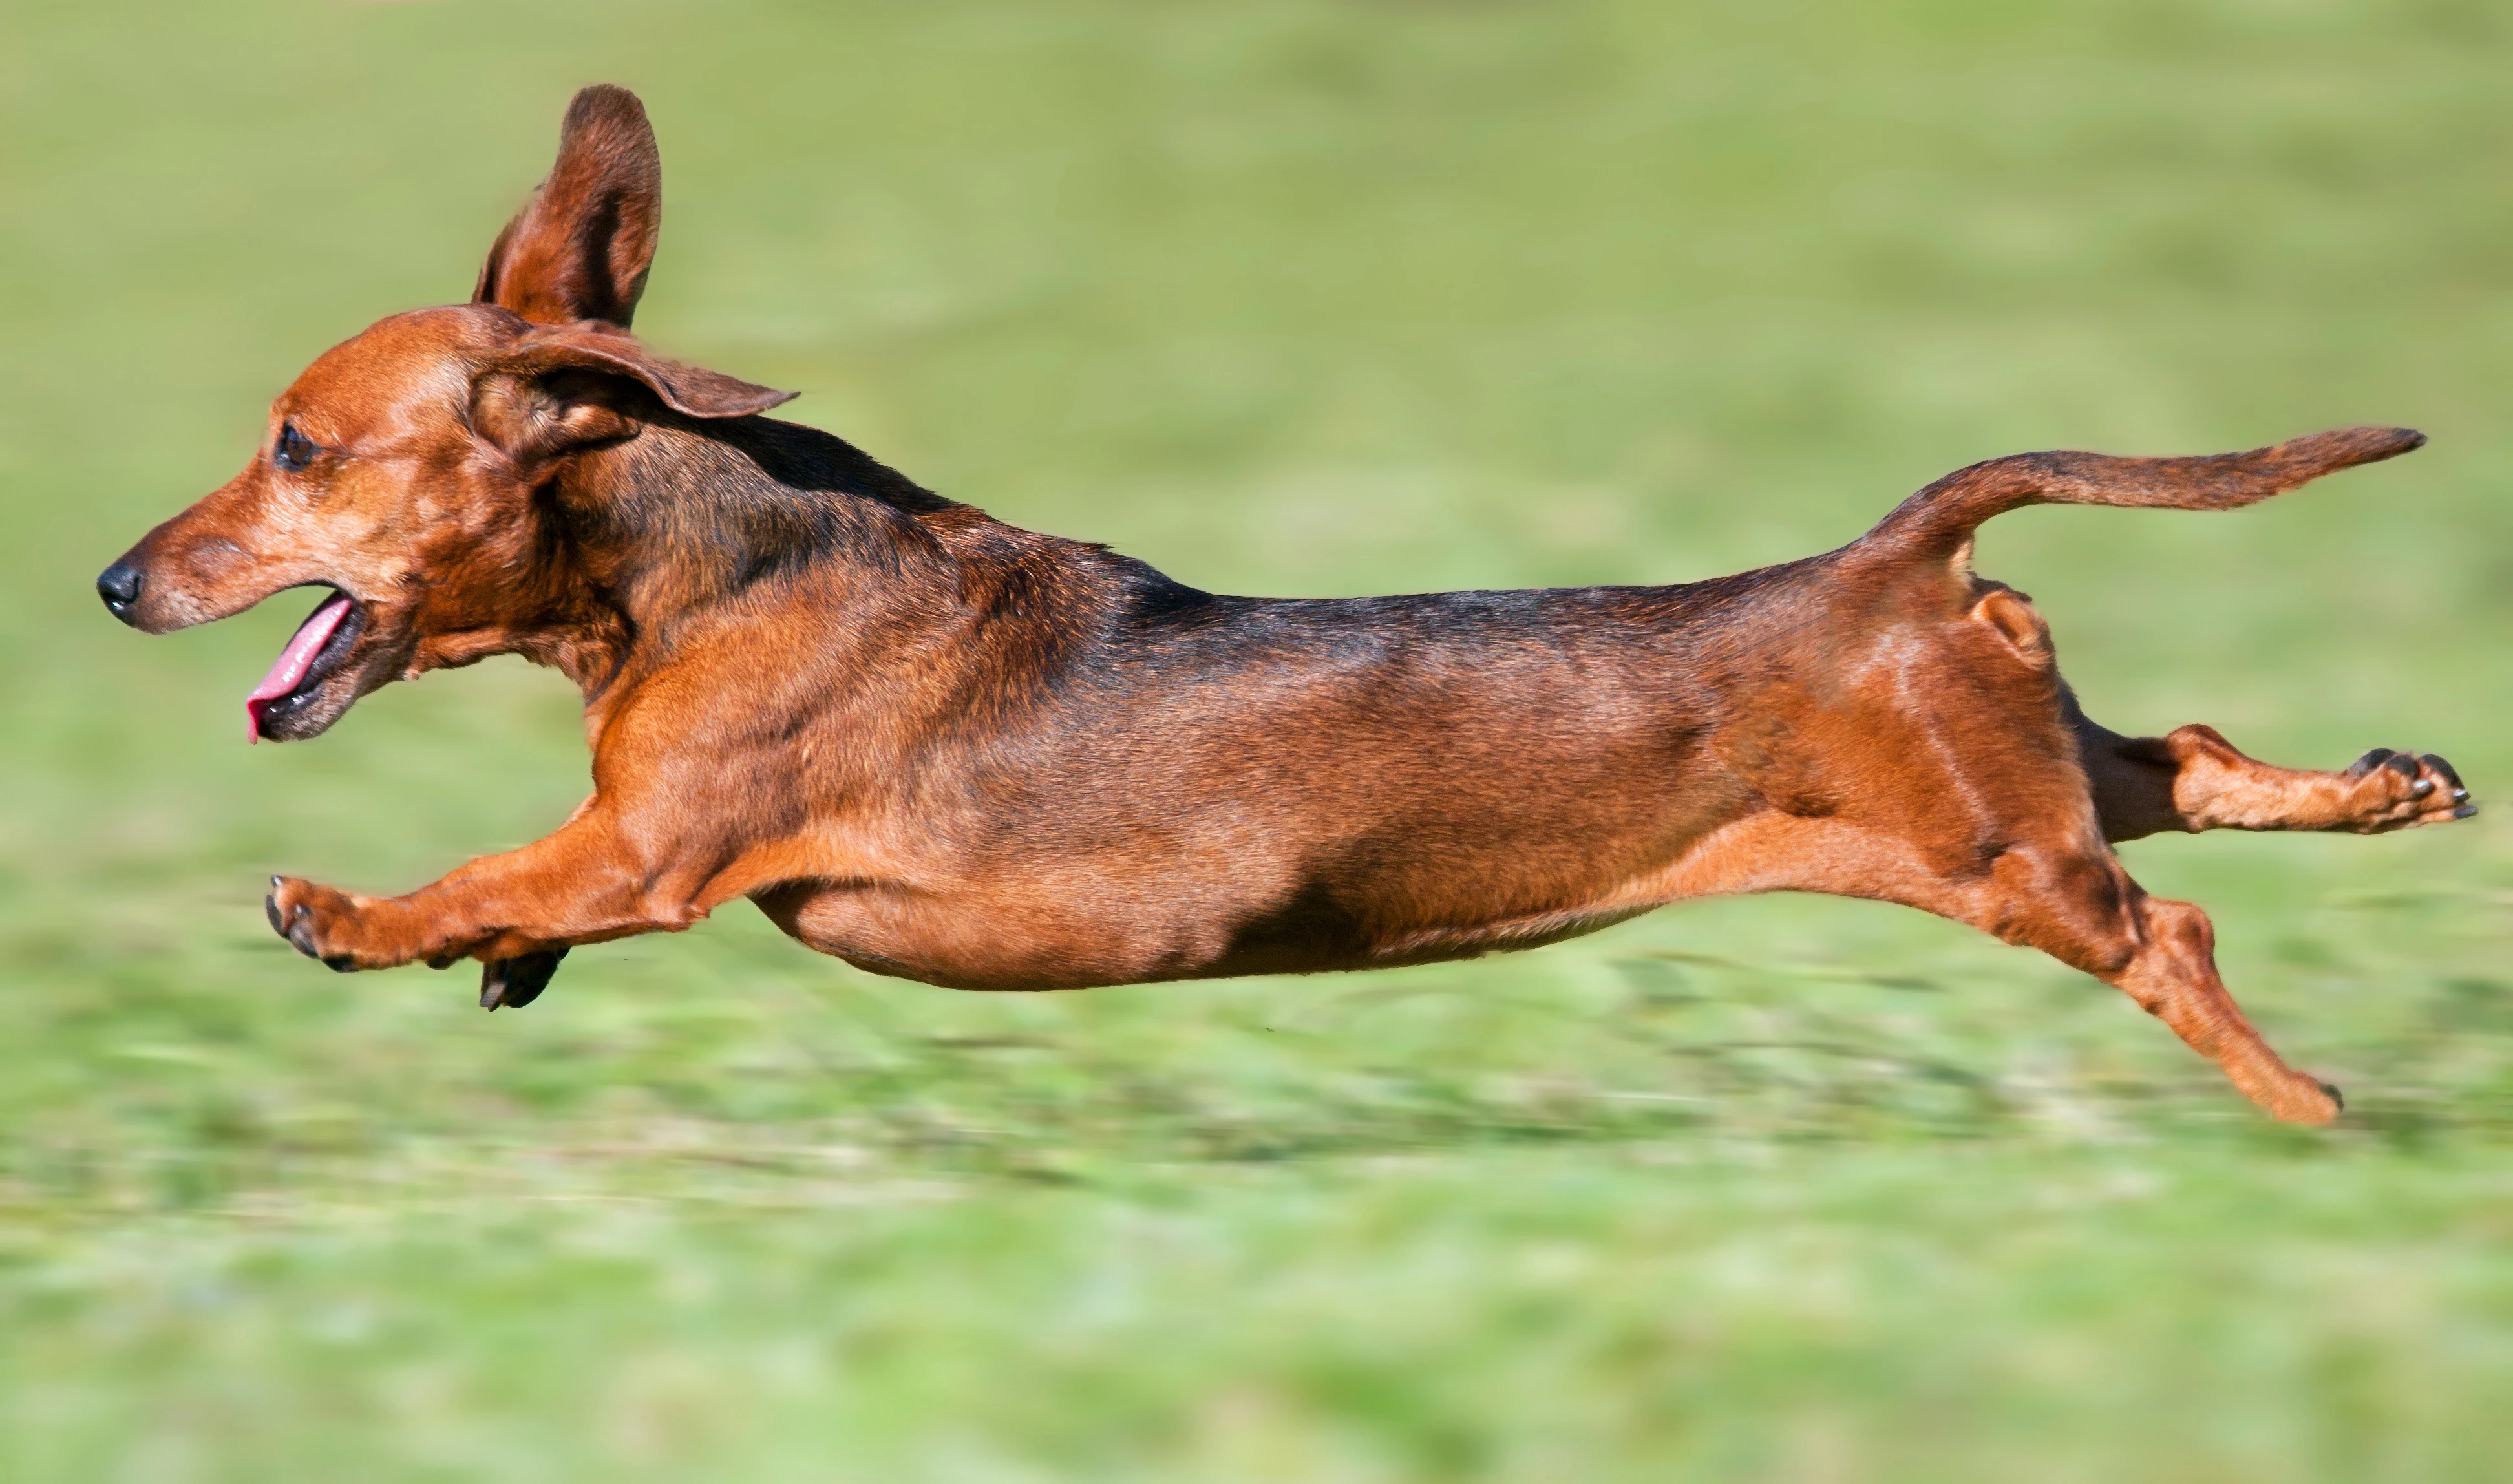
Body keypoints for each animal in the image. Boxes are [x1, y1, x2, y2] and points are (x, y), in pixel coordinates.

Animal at [103, 84, 2472, 1125]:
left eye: (294, 449)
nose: (116, 578)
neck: (694, 561)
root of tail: (1890, 559)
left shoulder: (652, 842)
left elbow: (489, 869)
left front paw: (356, 913)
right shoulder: (633, 847)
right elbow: (520, 904)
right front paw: (489, 965)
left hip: (1997, 856)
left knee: (2162, 932)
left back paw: (2305, 1112)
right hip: (2024, 776)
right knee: (2179, 763)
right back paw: (2383, 789)